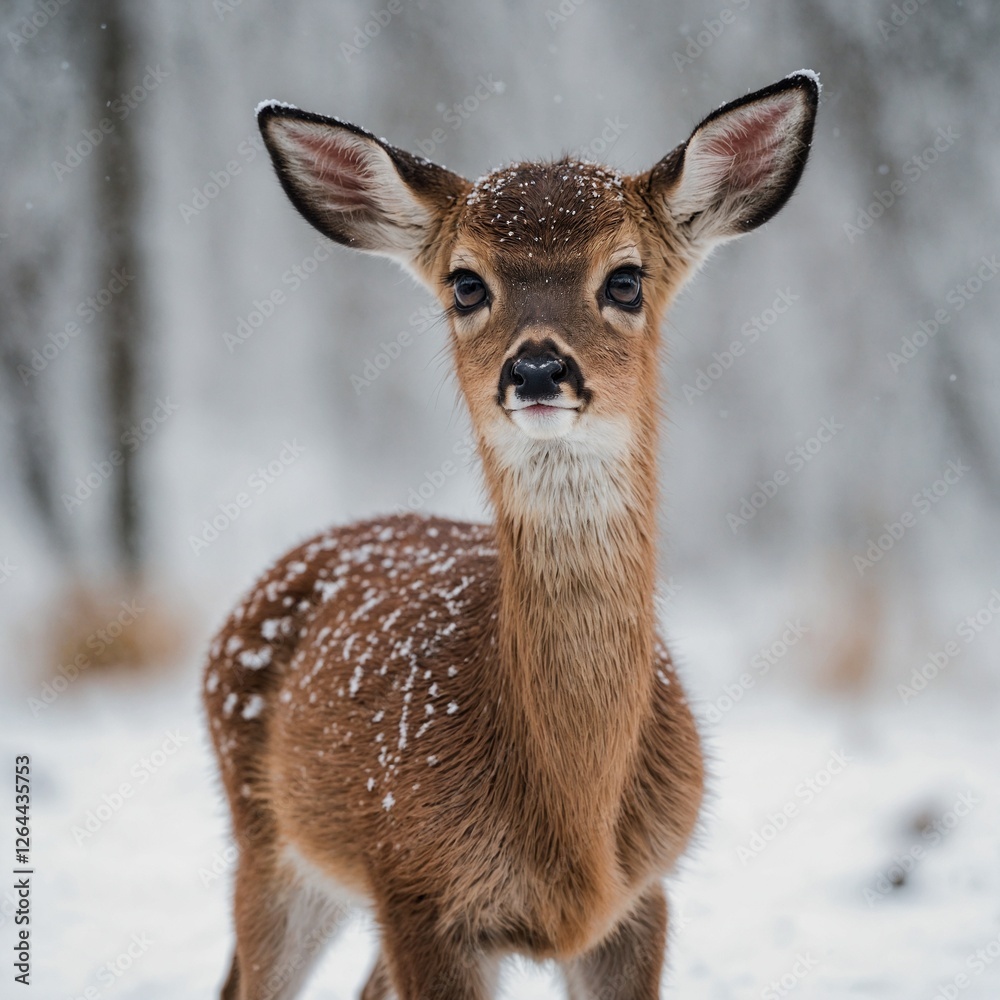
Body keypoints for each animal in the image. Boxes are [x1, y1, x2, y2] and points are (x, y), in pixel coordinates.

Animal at [203, 72, 819, 999]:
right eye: (466, 283)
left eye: (626, 279)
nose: (535, 368)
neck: (573, 816)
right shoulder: (420, 886)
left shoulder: (642, 897)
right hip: (272, 843)